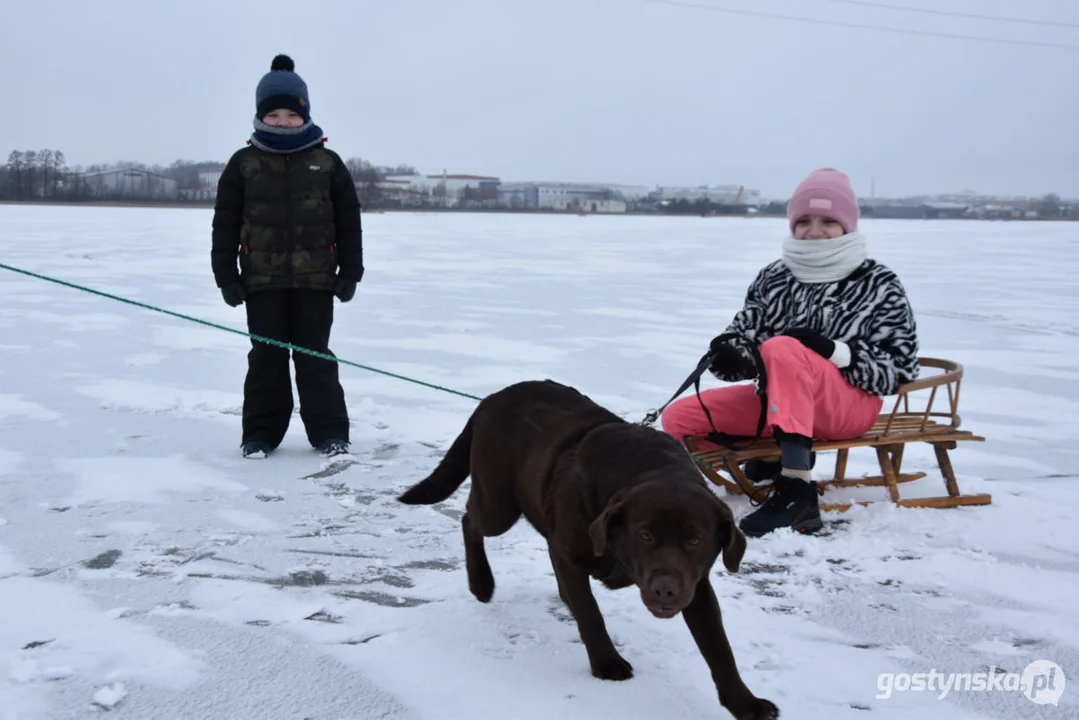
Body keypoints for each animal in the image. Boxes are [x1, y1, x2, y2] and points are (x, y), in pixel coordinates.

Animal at [397, 379, 776, 716]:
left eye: (695, 541)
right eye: (645, 536)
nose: (665, 589)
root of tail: (491, 398)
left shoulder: (695, 585)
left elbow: (718, 646)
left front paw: (745, 702)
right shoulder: (570, 554)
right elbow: (591, 614)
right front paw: (607, 664)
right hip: (499, 505)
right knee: (469, 520)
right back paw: (481, 582)